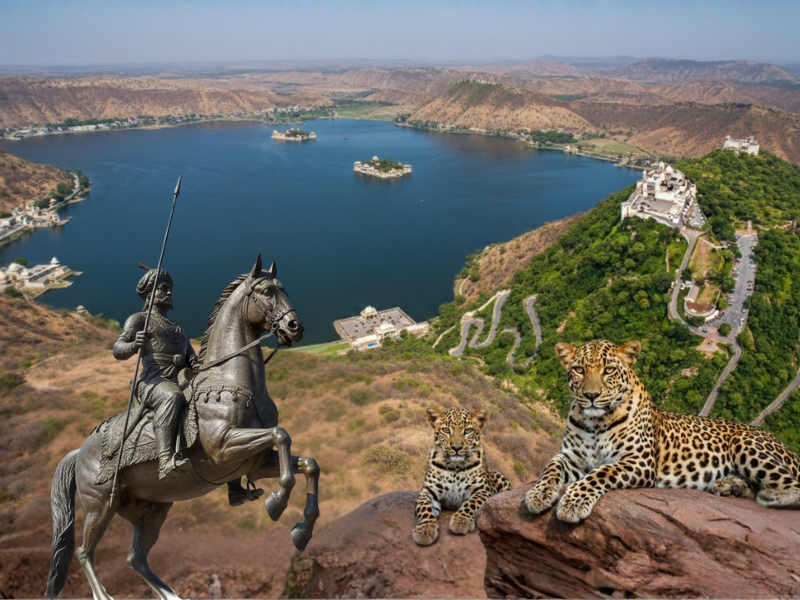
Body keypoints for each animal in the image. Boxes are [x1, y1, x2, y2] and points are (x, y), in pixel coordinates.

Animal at [413, 407, 512, 546]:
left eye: (468, 431)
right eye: (446, 430)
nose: (456, 447)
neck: (455, 466)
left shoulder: (483, 491)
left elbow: (472, 503)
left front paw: (460, 521)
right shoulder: (428, 491)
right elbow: (424, 508)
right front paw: (425, 529)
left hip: (499, 477)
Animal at [524, 339, 800, 523]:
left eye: (608, 370)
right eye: (579, 370)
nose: (591, 396)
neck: (596, 423)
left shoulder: (638, 461)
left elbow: (600, 473)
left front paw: (573, 503)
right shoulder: (571, 456)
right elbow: (550, 467)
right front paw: (538, 494)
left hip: (746, 443)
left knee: (793, 487)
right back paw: (728, 485)